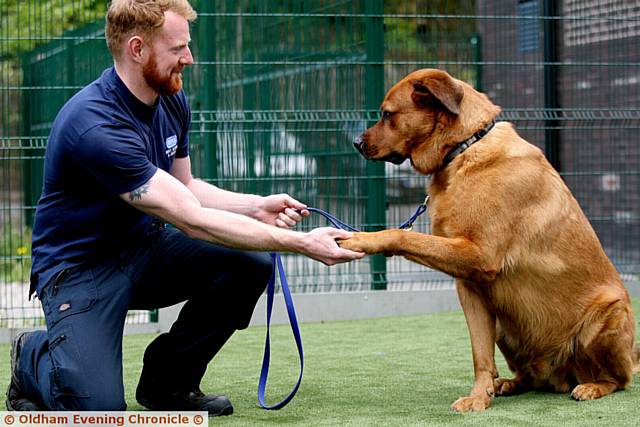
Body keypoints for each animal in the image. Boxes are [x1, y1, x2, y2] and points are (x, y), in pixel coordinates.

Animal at [338, 68, 636, 412]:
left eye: (387, 114)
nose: (356, 142)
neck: (463, 149)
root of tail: (560, 375)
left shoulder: (479, 255)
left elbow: (400, 234)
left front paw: (363, 240)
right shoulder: (470, 287)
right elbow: (480, 356)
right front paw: (480, 396)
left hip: (607, 317)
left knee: (620, 380)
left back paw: (592, 387)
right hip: (505, 326)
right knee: (530, 377)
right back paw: (508, 383)